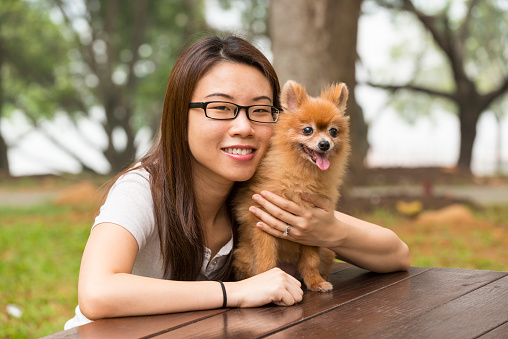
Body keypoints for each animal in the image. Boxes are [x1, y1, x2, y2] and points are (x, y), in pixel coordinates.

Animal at [233, 79, 350, 292]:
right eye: (307, 130)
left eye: (333, 131)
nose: (324, 144)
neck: (303, 175)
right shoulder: (262, 222)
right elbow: (266, 259)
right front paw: (268, 282)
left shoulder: (313, 229)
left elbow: (310, 260)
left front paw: (315, 282)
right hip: (243, 256)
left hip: (327, 253)